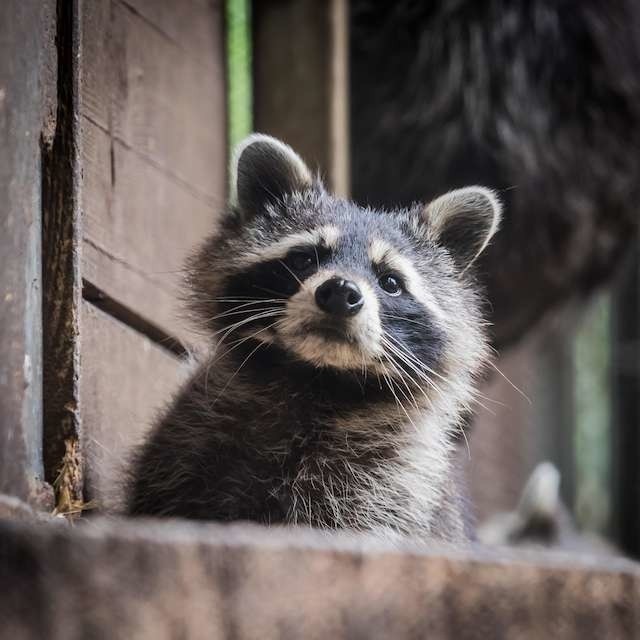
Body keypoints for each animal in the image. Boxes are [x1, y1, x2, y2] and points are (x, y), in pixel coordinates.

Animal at [126, 135, 500, 544]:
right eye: (304, 258)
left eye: (390, 282)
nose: (340, 292)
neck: (318, 379)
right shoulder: (188, 441)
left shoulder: (392, 487)